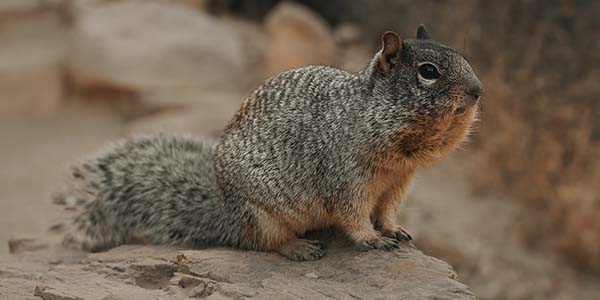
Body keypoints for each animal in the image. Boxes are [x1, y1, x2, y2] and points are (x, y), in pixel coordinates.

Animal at [56, 25, 482, 260]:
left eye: (462, 55)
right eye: (429, 71)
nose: (479, 91)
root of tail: (225, 214)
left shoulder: (399, 181)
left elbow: (389, 211)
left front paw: (393, 231)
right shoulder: (347, 176)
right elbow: (354, 214)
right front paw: (371, 240)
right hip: (263, 214)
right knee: (264, 243)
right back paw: (299, 248)